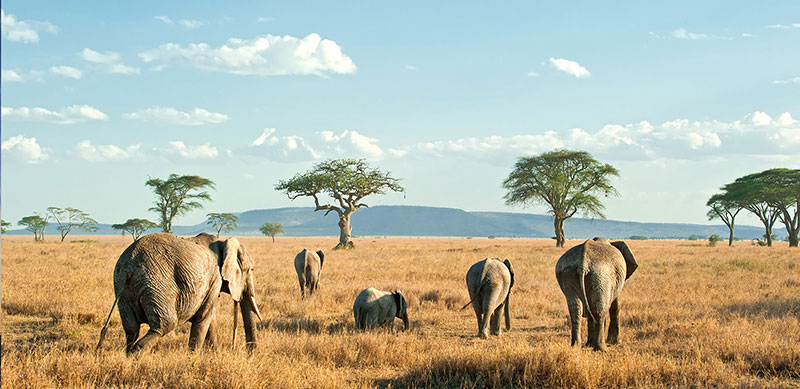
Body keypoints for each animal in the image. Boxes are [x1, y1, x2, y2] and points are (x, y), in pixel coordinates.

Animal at [97, 232, 262, 354]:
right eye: (251, 269)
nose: (250, 354)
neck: (223, 243)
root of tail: (128, 267)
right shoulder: (215, 278)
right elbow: (203, 317)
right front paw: (193, 358)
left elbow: (210, 318)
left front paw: (215, 355)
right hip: (157, 284)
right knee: (164, 325)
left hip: (122, 288)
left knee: (131, 329)